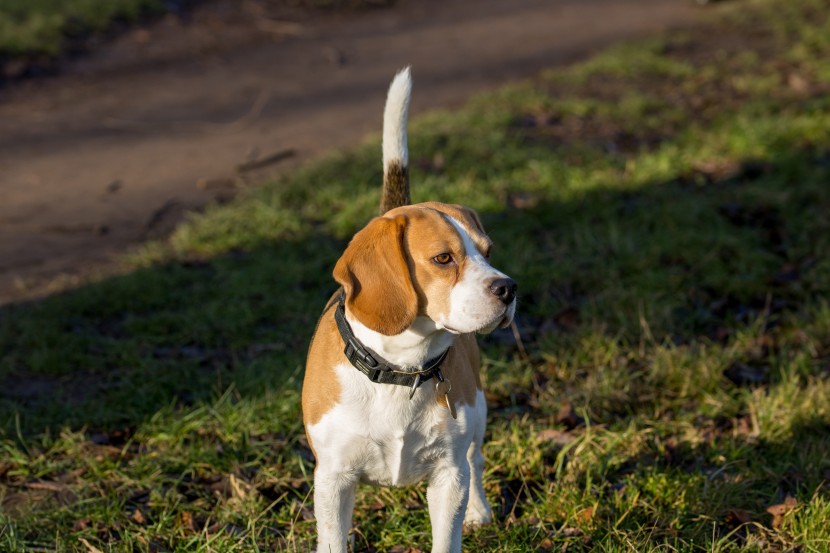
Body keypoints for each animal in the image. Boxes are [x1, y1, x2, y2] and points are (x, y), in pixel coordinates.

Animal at [302, 69, 516, 552]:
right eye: (443, 258)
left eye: (488, 251)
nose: (508, 288)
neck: (401, 370)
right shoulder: (333, 480)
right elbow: (334, 539)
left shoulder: (449, 475)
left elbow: (447, 536)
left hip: (476, 418)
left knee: (476, 460)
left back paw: (479, 510)